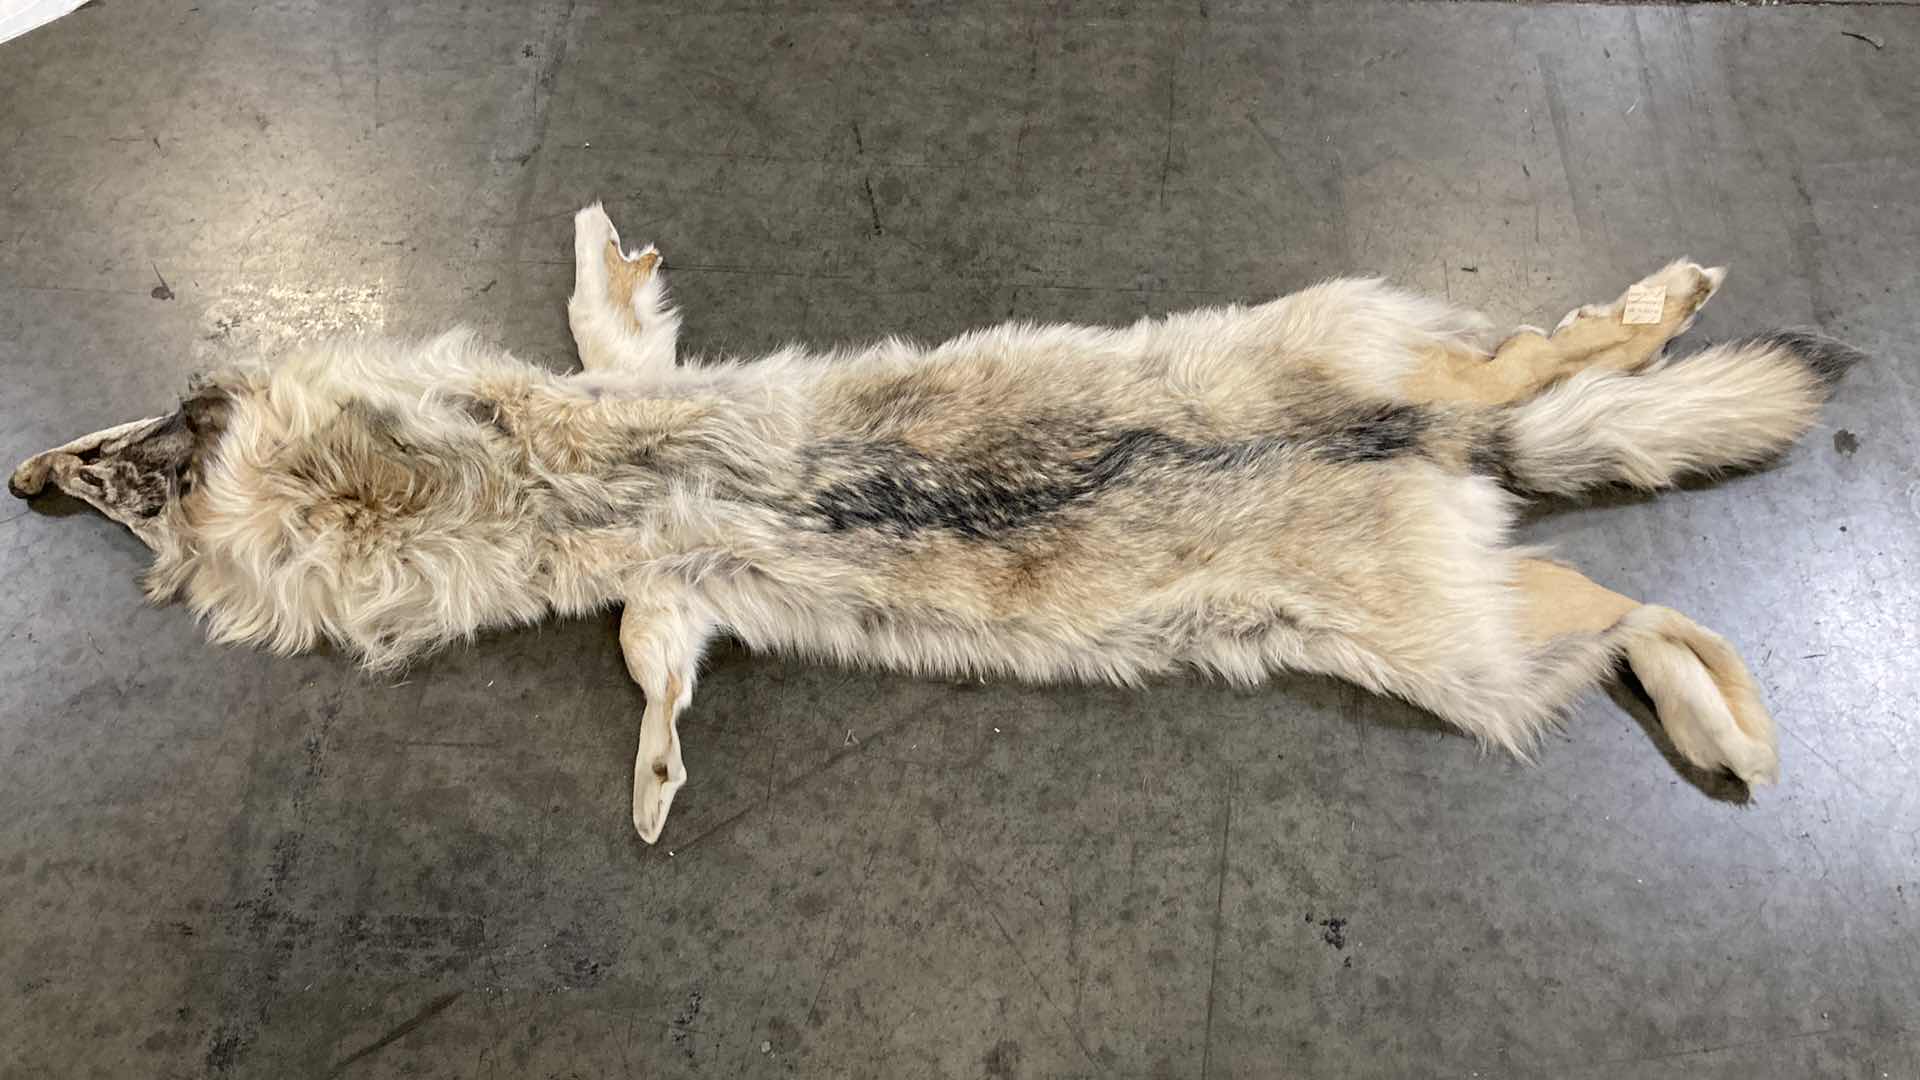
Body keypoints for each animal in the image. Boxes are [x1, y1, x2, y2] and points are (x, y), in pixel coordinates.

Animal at [9, 204, 1860, 843]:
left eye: (148, 453)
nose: (27, 476)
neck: (524, 483)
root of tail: (1432, 441)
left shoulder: (610, 451)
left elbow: (608, 335)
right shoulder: (671, 591)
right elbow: (658, 667)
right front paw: (660, 777)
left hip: (1408, 458)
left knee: (1575, 404)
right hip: (1452, 615)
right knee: (1605, 585)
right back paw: (1727, 704)